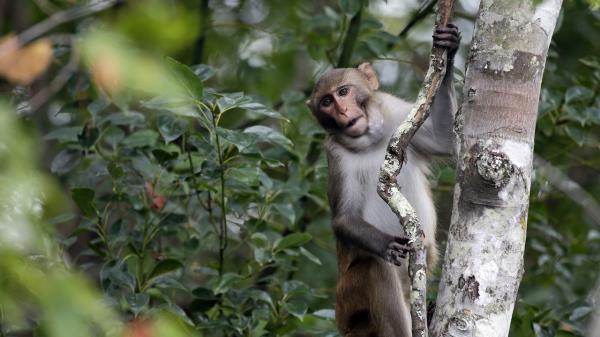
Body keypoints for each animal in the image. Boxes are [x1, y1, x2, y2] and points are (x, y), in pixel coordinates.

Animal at [304, 24, 460, 336]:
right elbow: (344, 219)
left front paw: (448, 50)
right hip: (348, 301)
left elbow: (447, 140)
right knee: (375, 269)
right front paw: (387, 244)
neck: (370, 140)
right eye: (327, 102)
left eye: (343, 92)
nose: (342, 111)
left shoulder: (397, 112)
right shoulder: (335, 155)